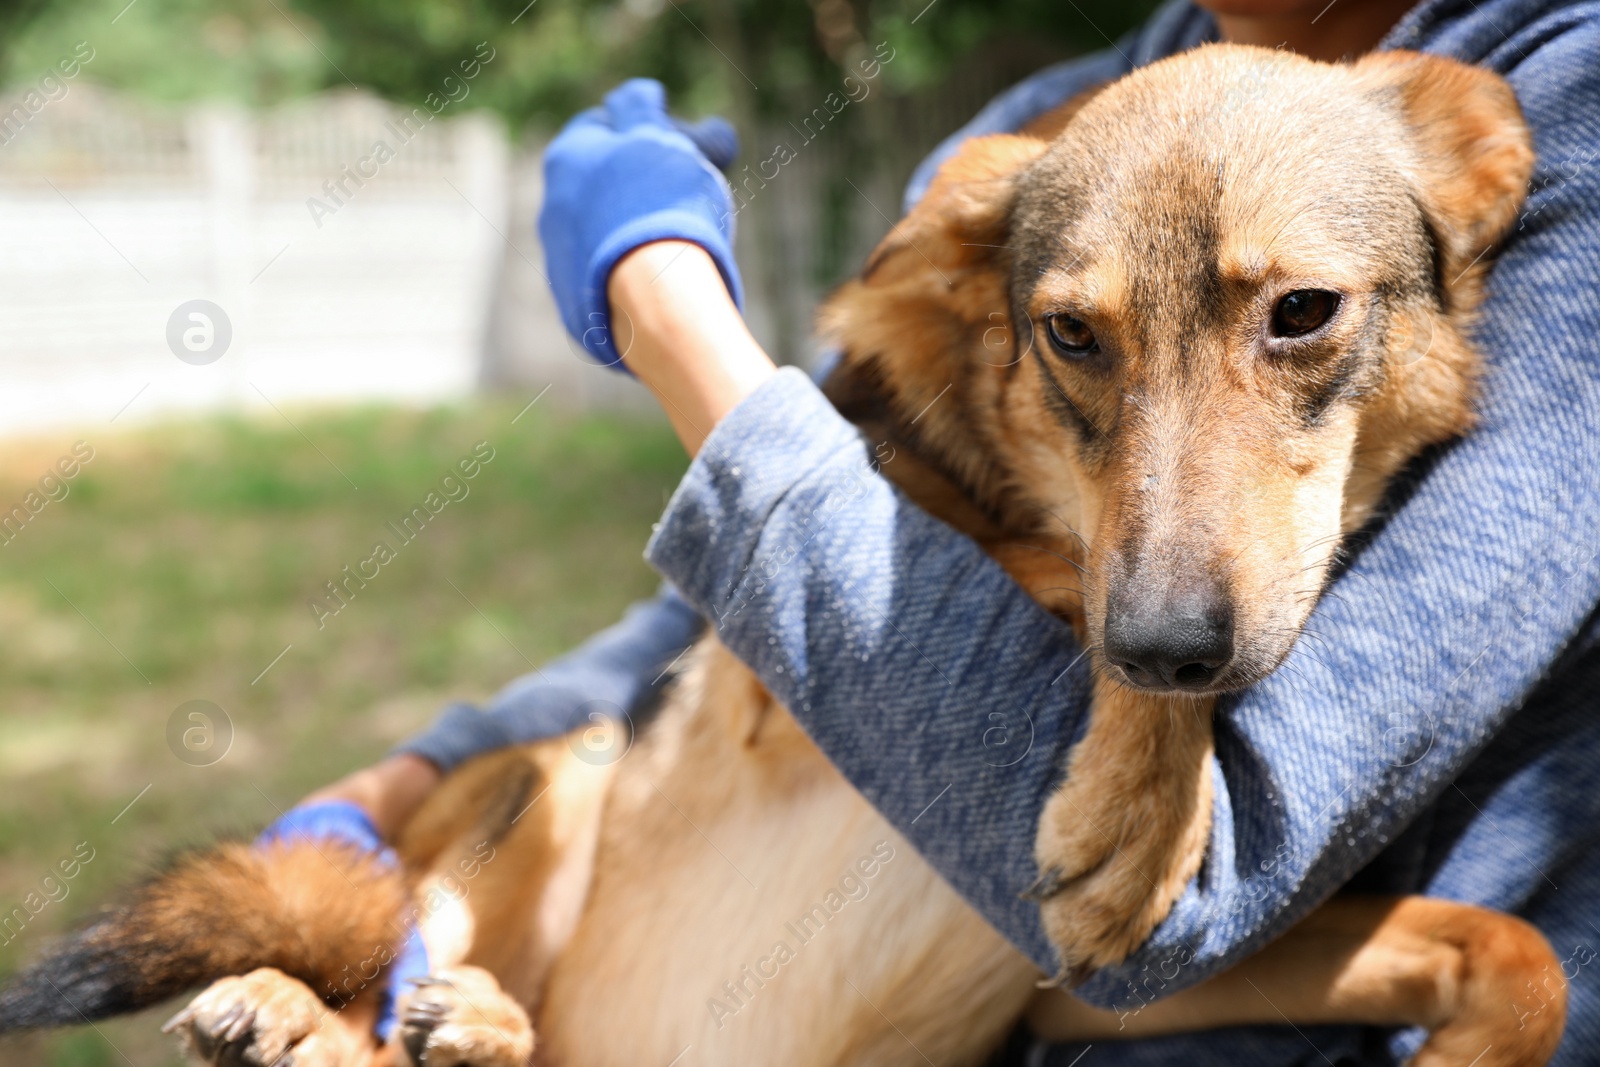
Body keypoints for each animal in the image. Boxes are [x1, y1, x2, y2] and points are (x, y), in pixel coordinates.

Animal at [0, 43, 1561, 1067]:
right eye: (1070, 334)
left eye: (1302, 311)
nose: (1168, 648)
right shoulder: (790, 657)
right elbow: (1065, 569)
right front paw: (1138, 798)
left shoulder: (1077, 987)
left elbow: (1510, 949)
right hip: (562, 764)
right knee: (390, 951)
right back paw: (316, 1018)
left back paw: (462, 1027)